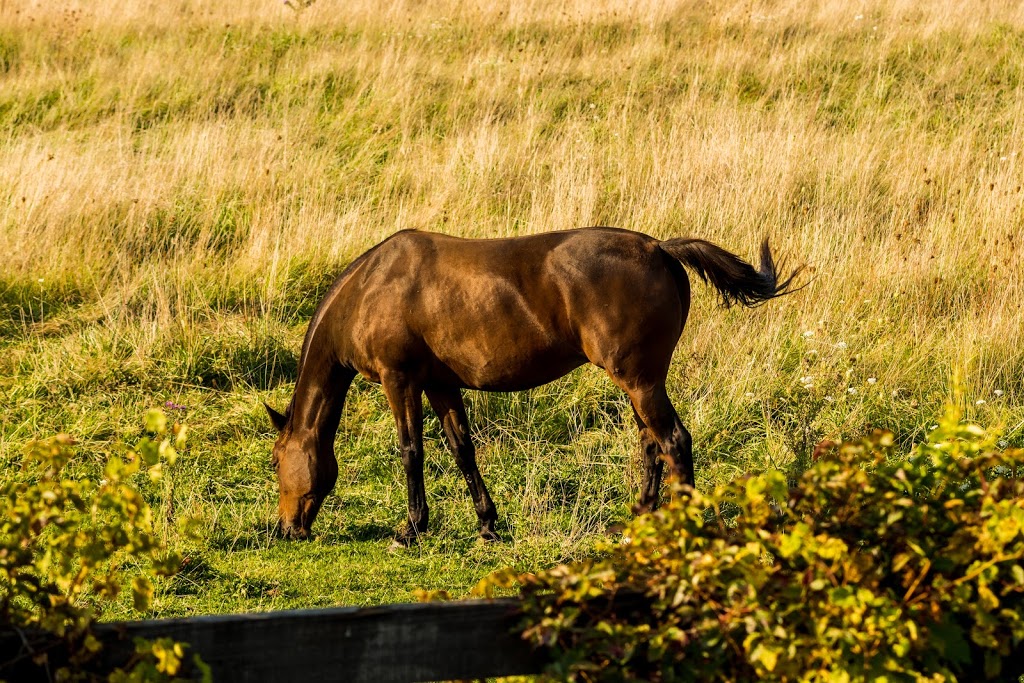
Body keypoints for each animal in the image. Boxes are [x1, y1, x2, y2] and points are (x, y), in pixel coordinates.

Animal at [262, 227, 798, 540]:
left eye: (274, 460)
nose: (288, 529)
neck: (371, 287)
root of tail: (659, 248)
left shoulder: (401, 381)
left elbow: (411, 451)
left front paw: (411, 528)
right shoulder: (440, 384)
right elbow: (462, 449)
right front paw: (487, 523)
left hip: (641, 381)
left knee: (673, 442)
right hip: (639, 384)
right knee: (651, 444)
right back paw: (639, 518)